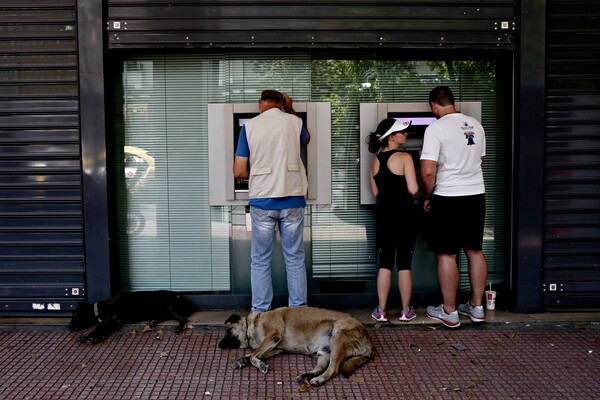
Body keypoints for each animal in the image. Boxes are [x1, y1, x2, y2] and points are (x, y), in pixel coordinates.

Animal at [67, 290, 195, 344]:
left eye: (76, 315)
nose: (68, 326)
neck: (100, 308)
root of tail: (182, 296)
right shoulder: (114, 320)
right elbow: (104, 329)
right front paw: (97, 337)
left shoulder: (111, 317)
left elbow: (99, 327)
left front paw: (90, 337)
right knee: (161, 315)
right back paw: (153, 321)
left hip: (169, 306)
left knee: (183, 319)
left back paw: (178, 328)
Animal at [218, 306, 372, 388]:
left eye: (228, 332)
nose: (219, 345)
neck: (253, 324)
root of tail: (370, 341)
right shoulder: (275, 348)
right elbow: (254, 353)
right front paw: (242, 360)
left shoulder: (272, 337)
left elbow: (254, 355)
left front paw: (259, 364)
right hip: (324, 352)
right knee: (321, 367)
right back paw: (306, 375)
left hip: (338, 340)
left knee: (333, 369)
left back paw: (319, 380)